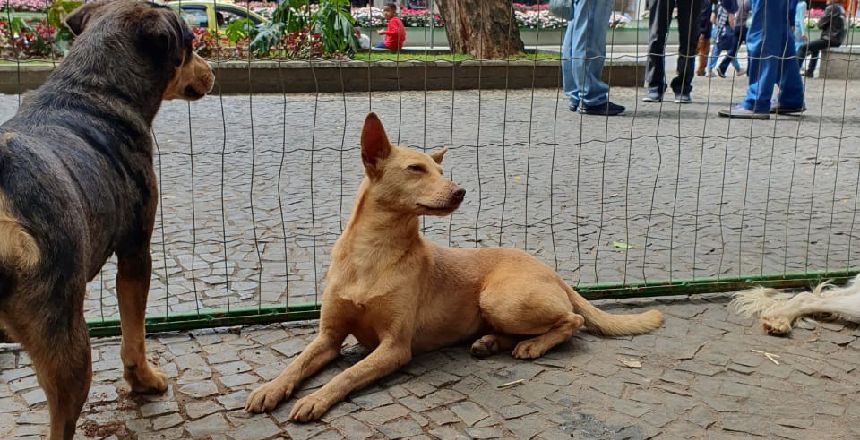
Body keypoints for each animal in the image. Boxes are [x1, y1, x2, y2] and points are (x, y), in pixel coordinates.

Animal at [0, 1, 213, 438]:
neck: (90, 87)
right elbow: (134, 332)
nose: (211, 71)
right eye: (190, 41)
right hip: (65, 339)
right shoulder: (136, 252)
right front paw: (143, 380)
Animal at [245, 112, 660, 420]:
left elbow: (346, 375)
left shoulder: (395, 347)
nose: (460, 191)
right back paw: (490, 342)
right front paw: (270, 389)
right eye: (415, 169)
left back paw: (532, 346)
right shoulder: (328, 337)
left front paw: (316, 398)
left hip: (500, 298)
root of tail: (550, 269)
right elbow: (296, 364)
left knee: (571, 320)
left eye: (441, 172)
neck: (373, 253)